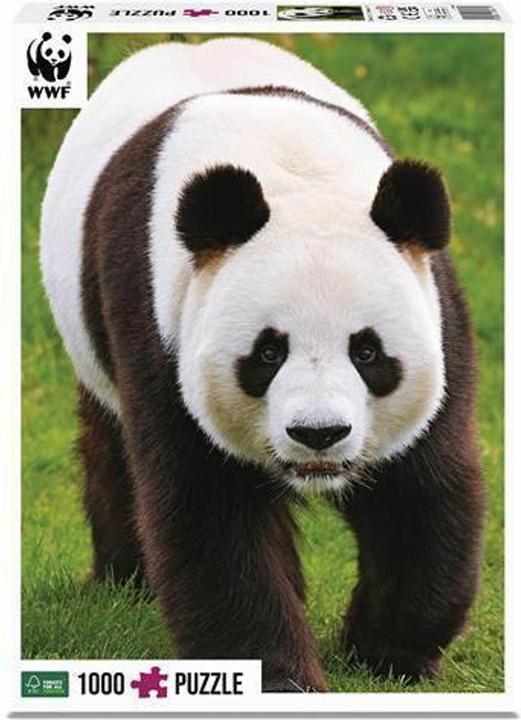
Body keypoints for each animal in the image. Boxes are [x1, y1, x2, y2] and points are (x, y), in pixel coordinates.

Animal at [40, 38, 485, 691]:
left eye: (367, 351)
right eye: (268, 352)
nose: (319, 434)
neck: (291, 173)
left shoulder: (435, 313)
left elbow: (419, 490)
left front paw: (387, 657)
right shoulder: (160, 323)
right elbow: (211, 512)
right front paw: (277, 677)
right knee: (112, 446)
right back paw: (125, 579)